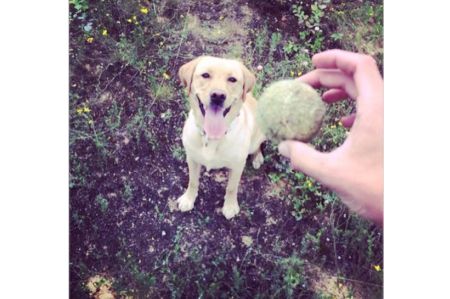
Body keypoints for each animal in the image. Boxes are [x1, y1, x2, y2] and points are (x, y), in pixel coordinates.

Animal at [177, 56, 268, 220]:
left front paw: (230, 206)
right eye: (205, 75)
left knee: (258, 145)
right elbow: (192, 181)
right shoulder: (191, 159)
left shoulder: (238, 165)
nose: (218, 96)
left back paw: (257, 157)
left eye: (232, 79)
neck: (212, 137)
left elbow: (232, 187)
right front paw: (188, 199)